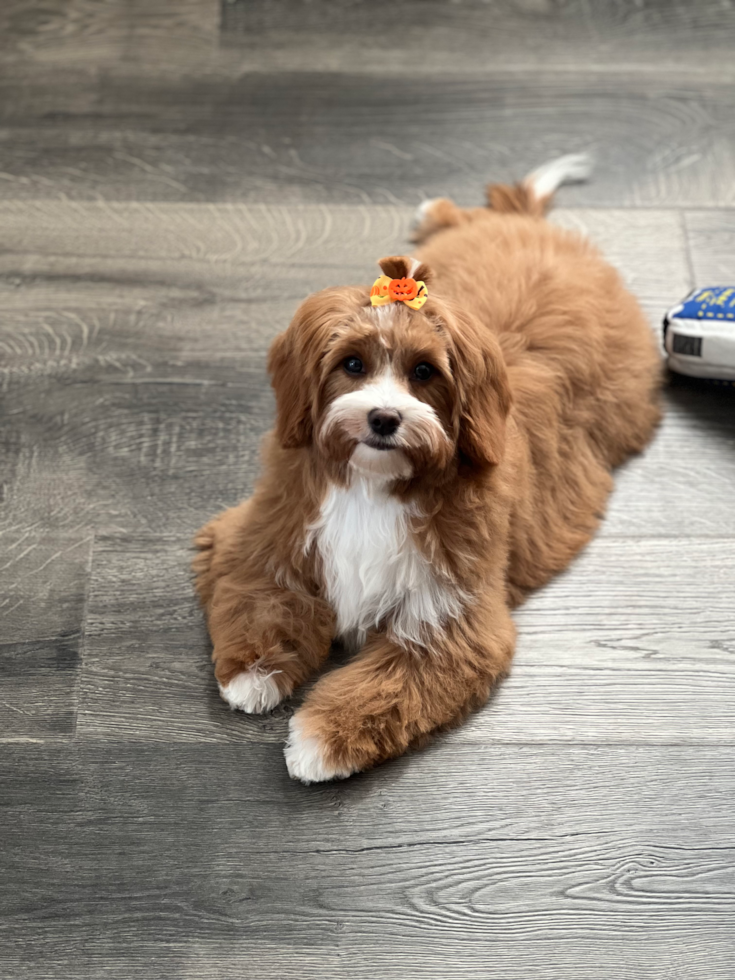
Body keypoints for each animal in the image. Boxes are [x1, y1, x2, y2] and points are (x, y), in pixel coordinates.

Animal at [194, 157, 660, 784]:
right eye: (352, 364)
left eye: (424, 371)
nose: (384, 417)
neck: (373, 484)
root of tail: (535, 230)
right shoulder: (263, 533)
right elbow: (258, 593)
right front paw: (251, 674)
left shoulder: (451, 615)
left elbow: (392, 681)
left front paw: (318, 742)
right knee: (463, 217)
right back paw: (433, 211)